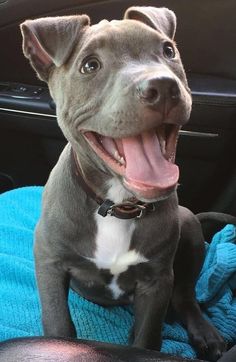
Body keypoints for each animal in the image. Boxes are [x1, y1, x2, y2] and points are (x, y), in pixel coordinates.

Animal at [20, 6, 227, 362]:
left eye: (168, 51)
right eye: (90, 65)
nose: (163, 86)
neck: (118, 205)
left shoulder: (156, 282)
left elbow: (146, 338)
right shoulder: (49, 261)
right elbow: (59, 323)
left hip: (187, 226)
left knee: (185, 296)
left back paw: (206, 334)